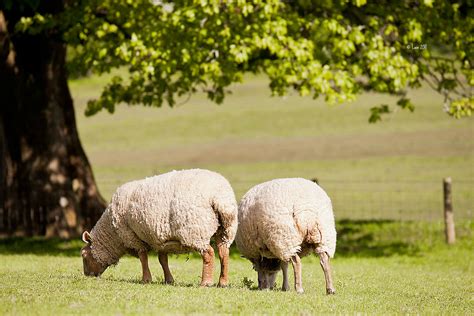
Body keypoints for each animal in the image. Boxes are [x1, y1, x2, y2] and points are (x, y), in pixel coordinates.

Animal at [80, 169, 241, 288]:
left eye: (83, 255)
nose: (87, 275)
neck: (113, 235)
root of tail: (220, 198)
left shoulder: (132, 236)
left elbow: (143, 257)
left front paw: (146, 279)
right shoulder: (159, 238)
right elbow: (162, 259)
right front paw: (169, 280)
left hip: (195, 230)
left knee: (208, 254)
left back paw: (205, 282)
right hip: (226, 229)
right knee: (223, 252)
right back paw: (223, 282)